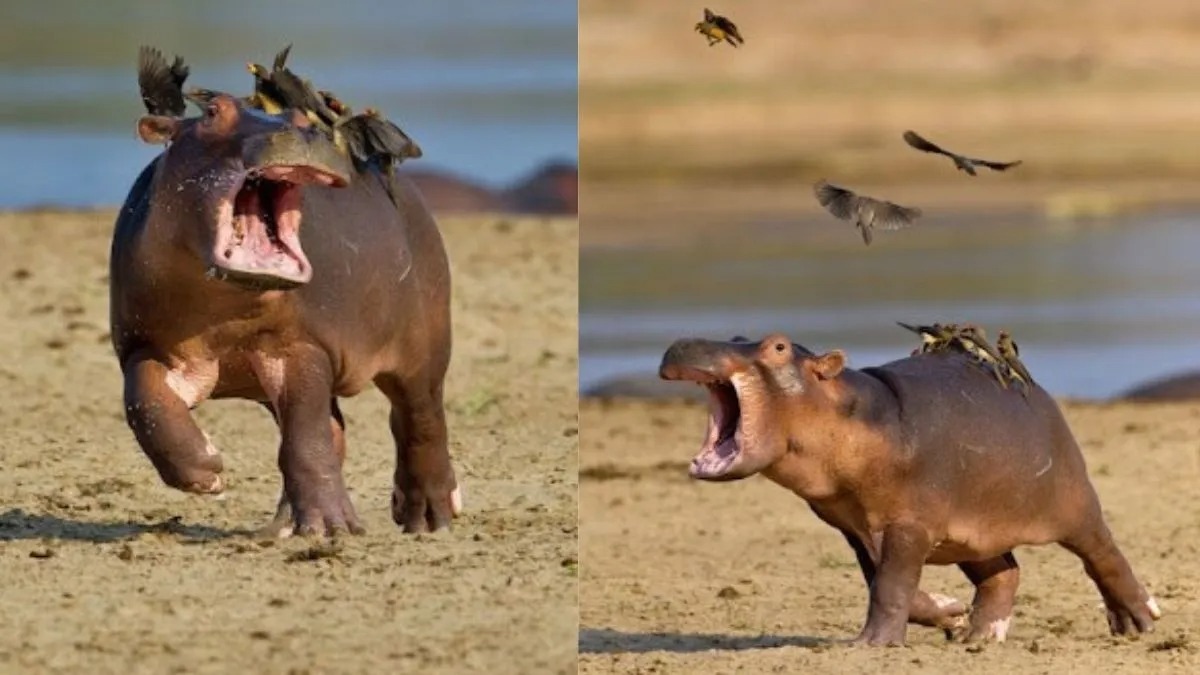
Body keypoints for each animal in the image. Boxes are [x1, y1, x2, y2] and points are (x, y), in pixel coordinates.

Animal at [662, 333, 1156, 643]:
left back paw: (1140, 620)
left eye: (778, 346)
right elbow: (884, 582)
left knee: (1103, 554)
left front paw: (871, 645)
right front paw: (951, 613)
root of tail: (1040, 392)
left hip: (1074, 503)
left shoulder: (908, 524)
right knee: (1003, 574)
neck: (846, 409)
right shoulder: (855, 526)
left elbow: (890, 585)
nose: (687, 342)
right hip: (971, 532)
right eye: (737, 334)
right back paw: (981, 635)